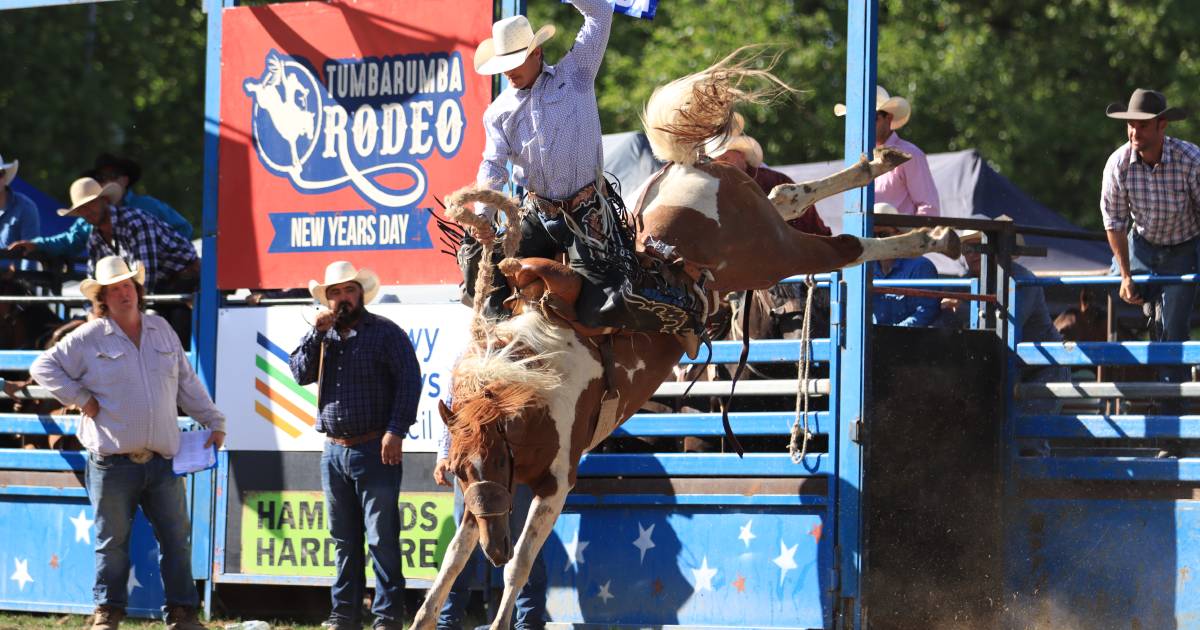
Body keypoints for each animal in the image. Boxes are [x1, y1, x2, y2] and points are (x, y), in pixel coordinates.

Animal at [410, 50, 955, 628]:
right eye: (455, 471)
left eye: (493, 461)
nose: (491, 548)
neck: (528, 388)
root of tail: (690, 168)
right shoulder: (488, 501)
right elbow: (450, 565)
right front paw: (427, 613)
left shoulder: (557, 482)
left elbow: (519, 565)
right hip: (761, 232)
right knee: (786, 193)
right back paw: (880, 165)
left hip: (777, 255)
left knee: (847, 245)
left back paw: (939, 234)